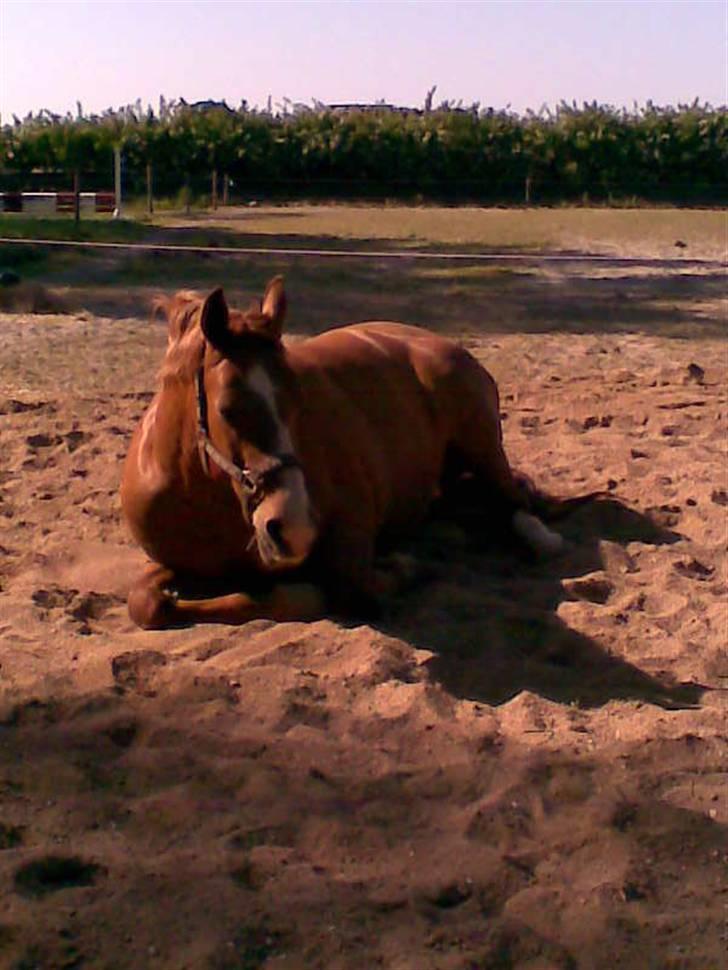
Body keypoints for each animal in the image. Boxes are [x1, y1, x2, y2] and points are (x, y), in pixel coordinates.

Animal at [122, 278, 568, 628]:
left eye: (299, 399)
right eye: (227, 409)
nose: (292, 526)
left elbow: (318, 593)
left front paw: (402, 568)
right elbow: (145, 603)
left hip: (482, 445)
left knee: (515, 502)